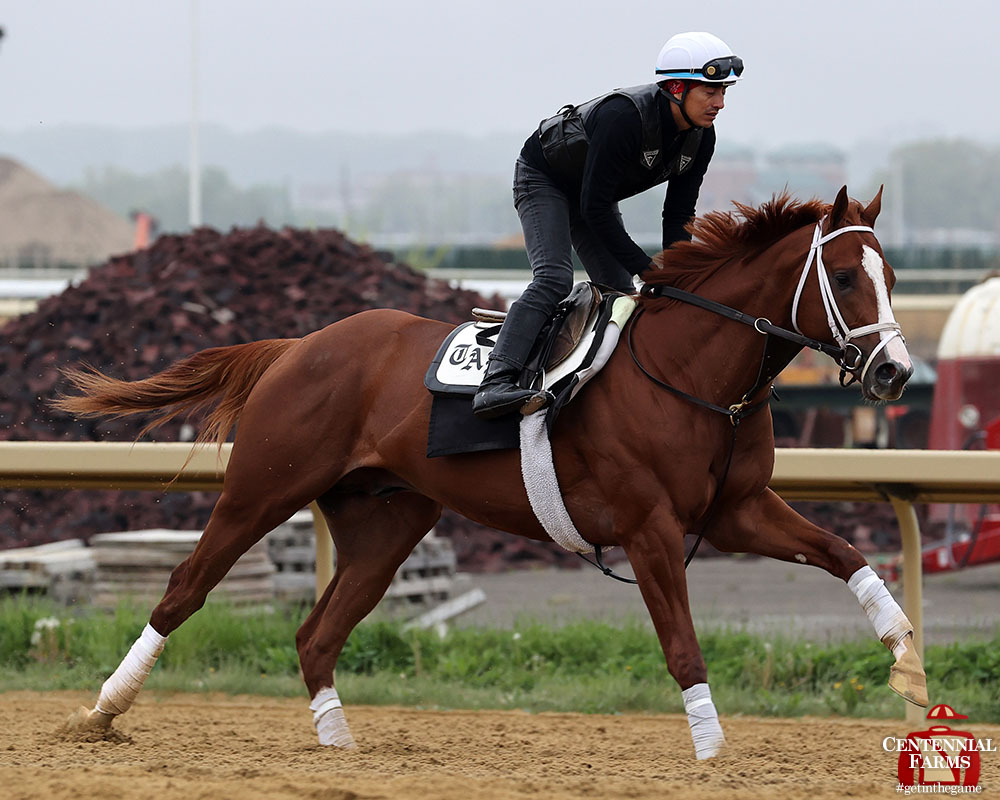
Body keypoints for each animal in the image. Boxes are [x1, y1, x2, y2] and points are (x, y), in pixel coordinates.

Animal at [56, 188, 928, 756]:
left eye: (895, 278)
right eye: (844, 278)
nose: (893, 373)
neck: (689, 371)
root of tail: (295, 346)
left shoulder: (735, 509)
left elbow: (847, 555)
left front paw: (909, 662)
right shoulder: (648, 528)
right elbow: (682, 644)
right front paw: (712, 753)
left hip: (387, 523)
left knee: (315, 634)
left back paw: (337, 744)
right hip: (262, 490)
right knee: (185, 589)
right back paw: (101, 712)